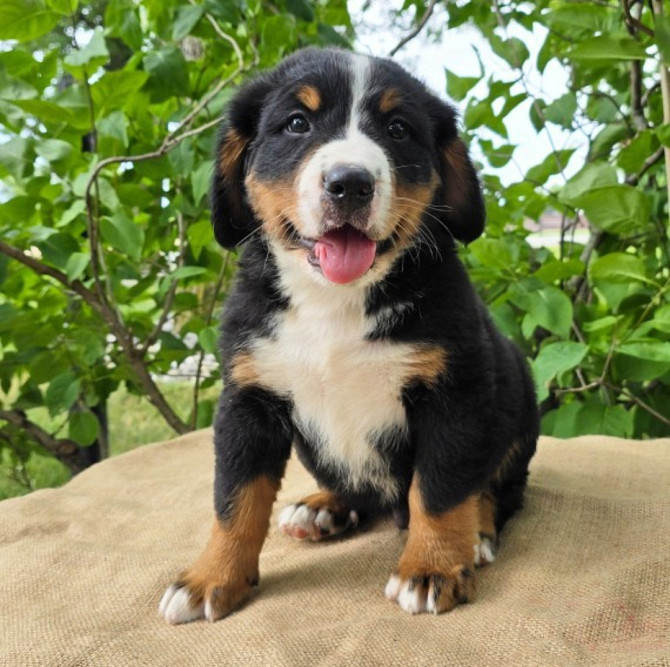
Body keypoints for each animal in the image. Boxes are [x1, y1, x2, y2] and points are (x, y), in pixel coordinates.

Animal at [159, 48, 540, 628]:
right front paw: (211, 578)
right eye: (297, 123)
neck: (333, 304)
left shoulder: (454, 392)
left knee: (499, 488)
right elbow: (235, 499)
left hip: (518, 401)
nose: (350, 183)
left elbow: (441, 489)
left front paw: (432, 567)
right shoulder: (248, 397)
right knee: (352, 488)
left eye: (398, 129)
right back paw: (321, 507)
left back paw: (476, 531)